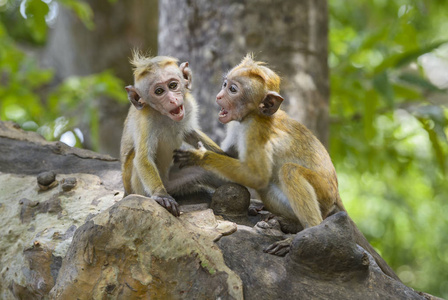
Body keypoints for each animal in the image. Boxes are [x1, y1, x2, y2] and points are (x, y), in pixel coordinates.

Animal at [120, 51, 226, 216]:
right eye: (159, 91)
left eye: (173, 85)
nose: (172, 99)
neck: (165, 117)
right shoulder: (146, 119)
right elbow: (143, 158)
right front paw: (161, 195)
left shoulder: (188, 105)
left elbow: (190, 133)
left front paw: (225, 155)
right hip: (141, 187)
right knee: (134, 156)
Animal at [173, 54, 400, 282]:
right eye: (225, 84)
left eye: (233, 90)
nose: (219, 96)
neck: (252, 115)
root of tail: (336, 194)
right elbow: (231, 157)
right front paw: (187, 130)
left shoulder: (255, 130)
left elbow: (257, 177)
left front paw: (199, 156)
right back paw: (290, 224)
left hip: (324, 194)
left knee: (288, 172)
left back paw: (306, 231)